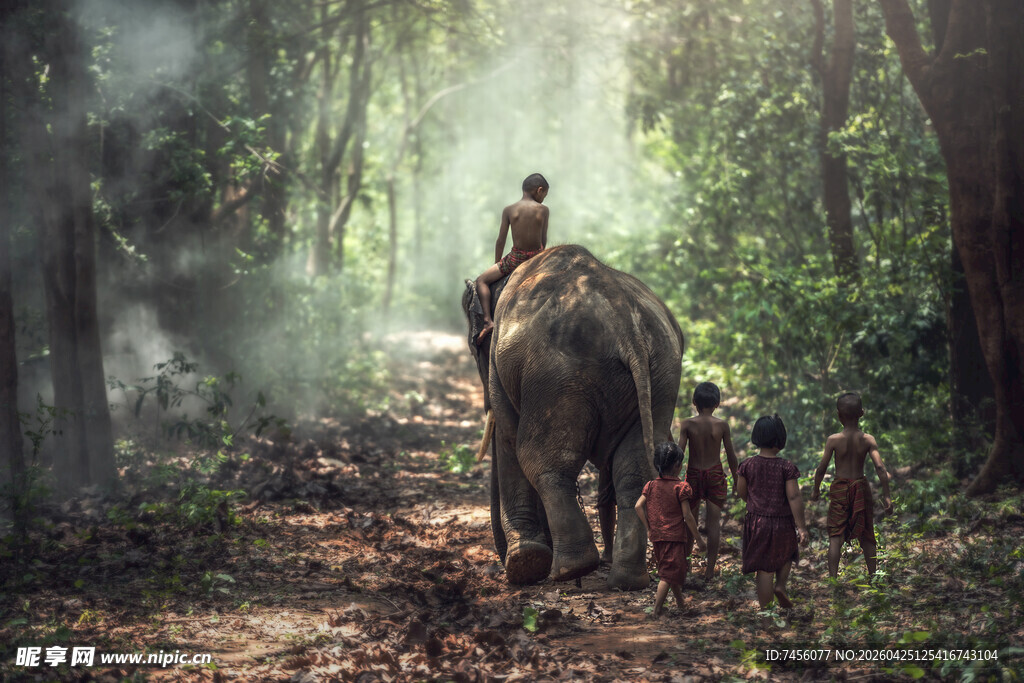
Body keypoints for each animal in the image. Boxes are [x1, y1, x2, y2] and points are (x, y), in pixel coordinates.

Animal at [462, 244, 684, 589]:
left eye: (475, 349)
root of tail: (627, 328)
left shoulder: (500, 367)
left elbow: (508, 437)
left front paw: (523, 564)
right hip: (662, 375)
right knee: (636, 470)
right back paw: (626, 580)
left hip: (558, 376)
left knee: (541, 460)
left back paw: (567, 569)